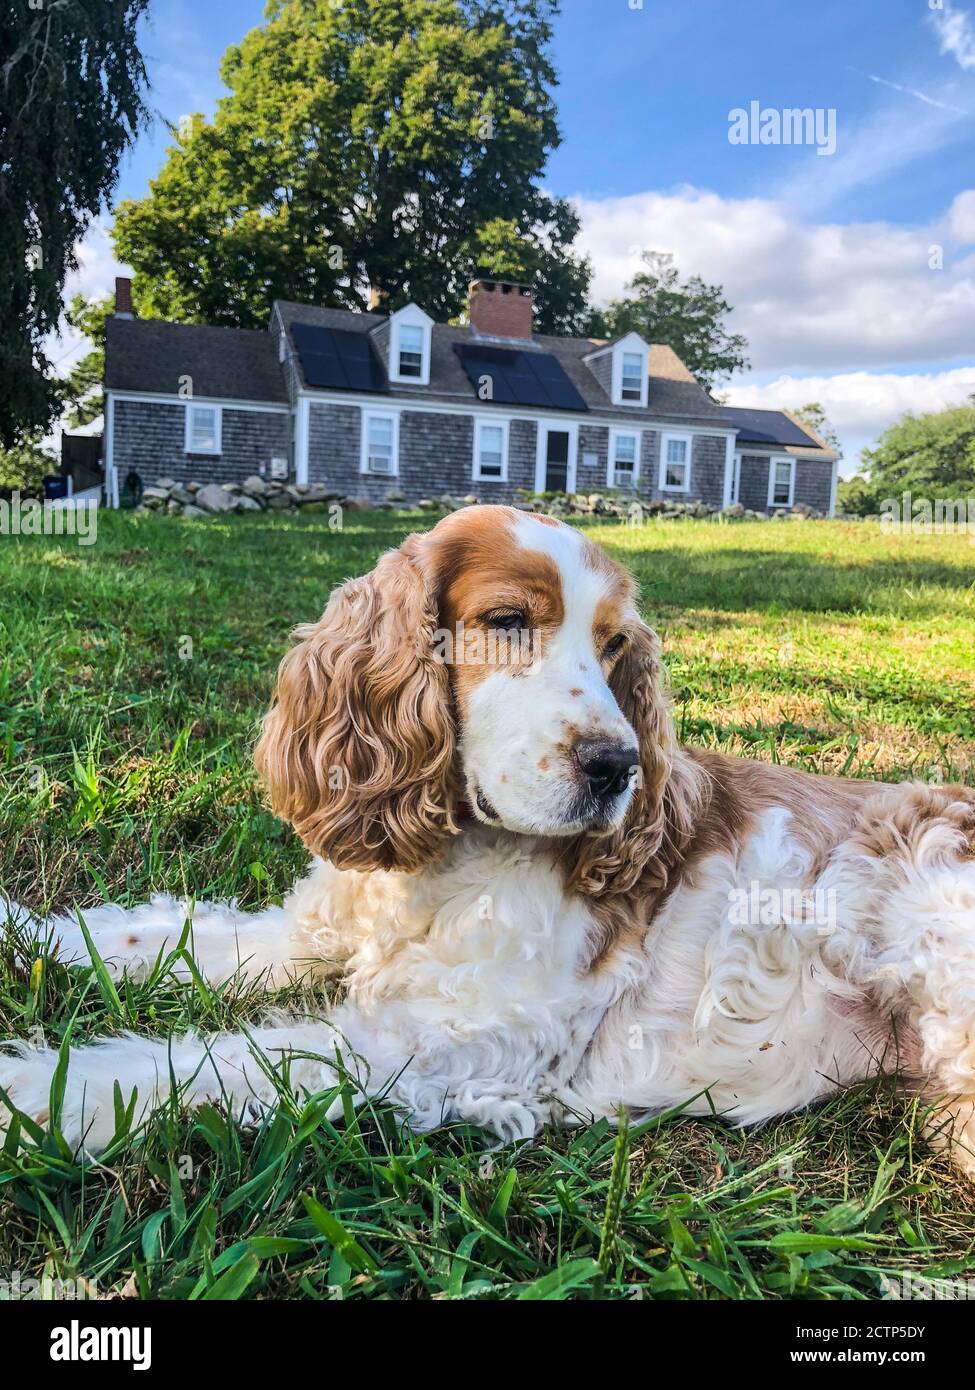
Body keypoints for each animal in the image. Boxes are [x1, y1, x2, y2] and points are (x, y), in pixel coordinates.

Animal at [1, 500, 973, 1173]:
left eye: (613, 646)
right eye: (507, 622)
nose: (617, 766)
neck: (446, 857)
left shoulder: (472, 1035)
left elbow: (227, 1060)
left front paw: (39, 1092)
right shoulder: (312, 935)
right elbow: (154, 935)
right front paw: (27, 934)